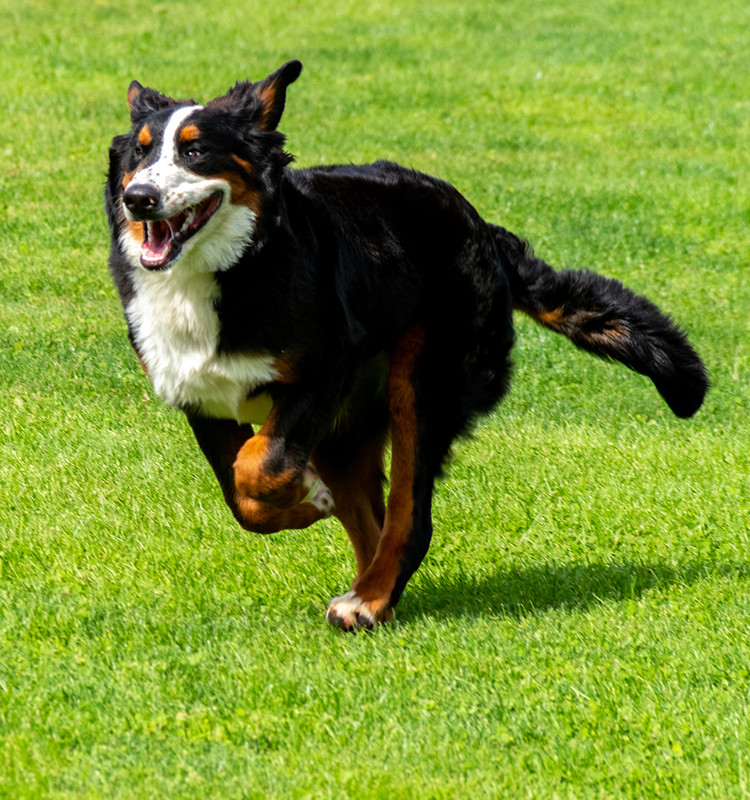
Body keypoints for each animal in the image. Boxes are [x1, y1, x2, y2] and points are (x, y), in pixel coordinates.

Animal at [106, 59, 712, 628]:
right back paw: (370, 594)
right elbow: (242, 498)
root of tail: (481, 228)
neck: (228, 271)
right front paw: (306, 499)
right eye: (139, 154)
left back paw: (370, 599)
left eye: (196, 151)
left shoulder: (323, 372)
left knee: (408, 517)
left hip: (423, 382)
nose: (139, 199)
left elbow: (260, 466)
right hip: (349, 426)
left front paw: (308, 496)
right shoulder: (200, 394)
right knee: (370, 520)